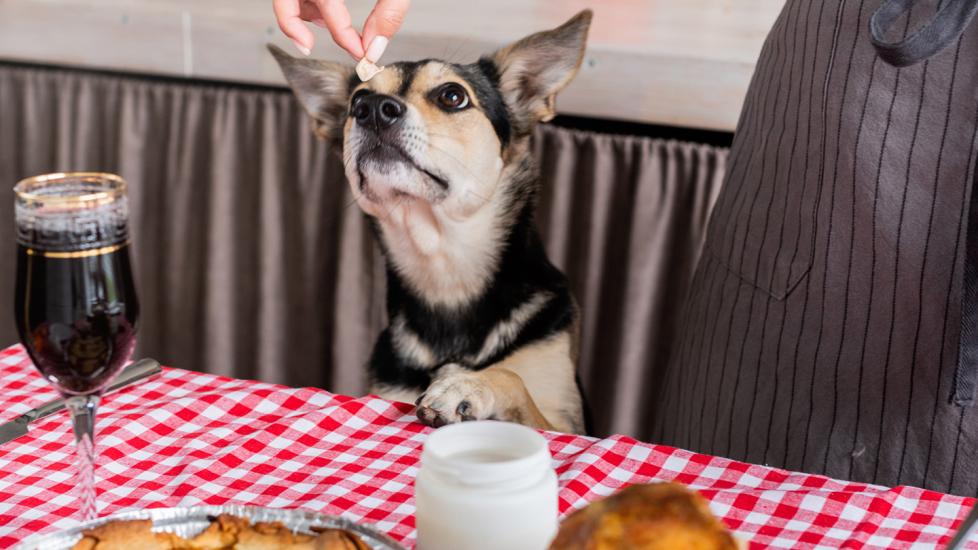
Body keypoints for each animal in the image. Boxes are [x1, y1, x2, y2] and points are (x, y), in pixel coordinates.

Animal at [266, 9, 592, 436]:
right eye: (357, 100)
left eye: (452, 96)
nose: (373, 108)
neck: (444, 269)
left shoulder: (564, 421)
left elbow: (511, 378)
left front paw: (466, 384)